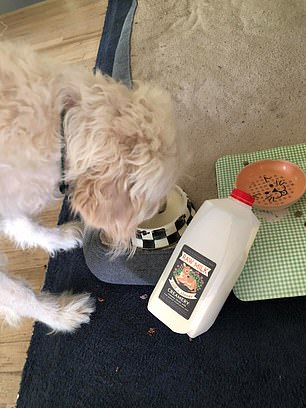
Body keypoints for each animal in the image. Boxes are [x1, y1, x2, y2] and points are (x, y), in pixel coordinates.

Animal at [0, 41, 182, 334]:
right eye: (153, 202)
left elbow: (25, 225)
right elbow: (18, 294)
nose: (164, 207)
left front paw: (59, 238)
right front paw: (60, 314)